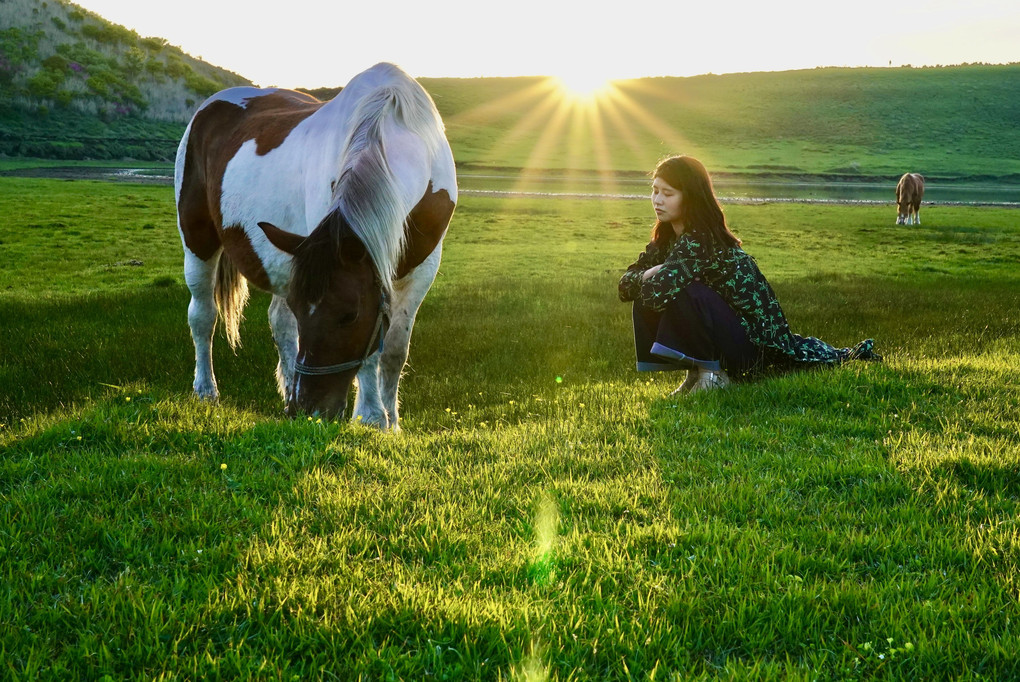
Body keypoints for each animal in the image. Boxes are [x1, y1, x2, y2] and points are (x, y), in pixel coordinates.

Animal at [176, 62, 459, 426]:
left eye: (349, 316)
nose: (307, 409)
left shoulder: (423, 269)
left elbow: (395, 348)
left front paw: (391, 422)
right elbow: (373, 353)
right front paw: (370, 417)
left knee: (279, 322)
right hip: (198, 239)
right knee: (202, 315)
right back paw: (206, 390)